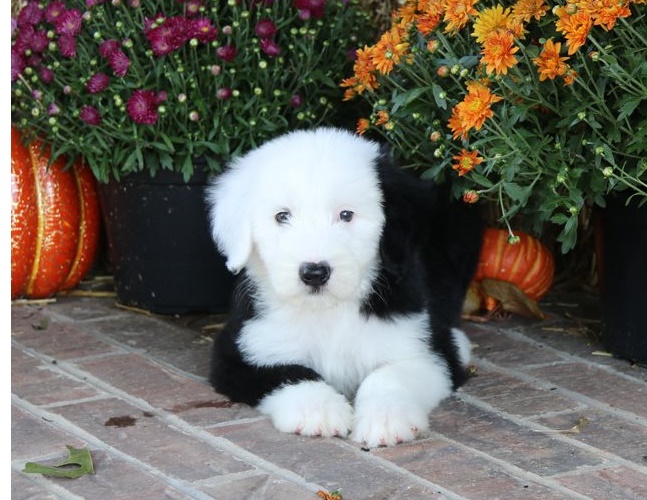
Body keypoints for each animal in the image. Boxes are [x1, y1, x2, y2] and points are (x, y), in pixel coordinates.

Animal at [205, 127, 484, 448]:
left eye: (346, 215)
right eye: (282, 216)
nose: (314, 272)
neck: (328, 311)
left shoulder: (425, 347)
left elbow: (390, 374)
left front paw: (385, 419)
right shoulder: (240, 351)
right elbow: (291, 373)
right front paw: (318, 410)